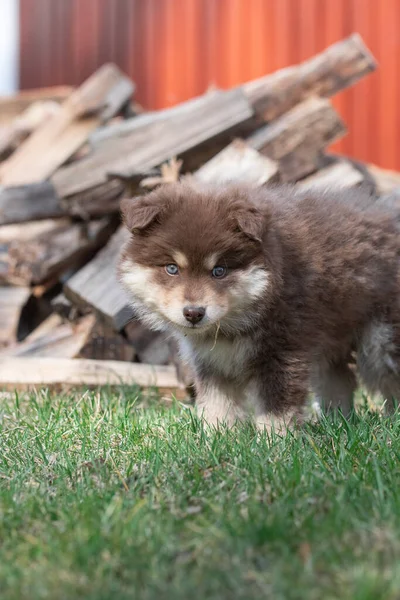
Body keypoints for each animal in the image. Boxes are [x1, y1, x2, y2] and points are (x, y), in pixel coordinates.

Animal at [119, 183, 400, 432]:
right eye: (172, 268)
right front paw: (216, 438)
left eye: (219, 270)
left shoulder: (282, 352)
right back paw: (336, 422)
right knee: (339, 379)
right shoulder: (211, 362)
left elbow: (276, 407)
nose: (194, 313)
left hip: (381, 339)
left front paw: (276, 443)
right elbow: (217, 405)